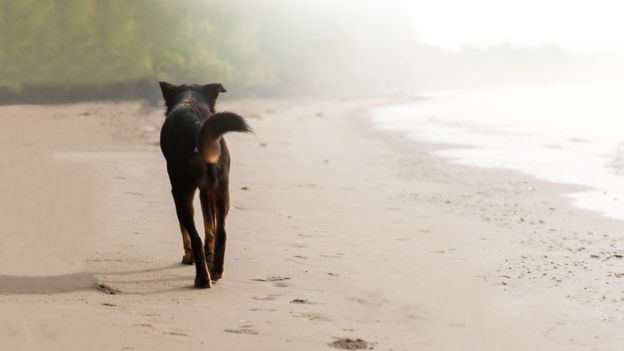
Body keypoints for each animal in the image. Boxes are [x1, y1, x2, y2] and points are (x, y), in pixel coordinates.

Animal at [158, 82, 251, 288]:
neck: (191, 100)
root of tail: (197, 126)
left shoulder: (180, 191)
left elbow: (188, 232)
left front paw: (188, 257)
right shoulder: (206, 191)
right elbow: (211, 229)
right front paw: (210, 258)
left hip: (182, 195)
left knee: (195, 237)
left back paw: (202, 278)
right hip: (222, 192)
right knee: (221, 232)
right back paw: (215, 270)